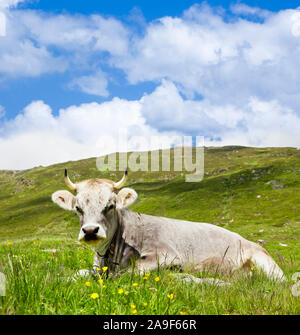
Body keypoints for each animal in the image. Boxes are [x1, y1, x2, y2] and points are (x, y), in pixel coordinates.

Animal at [51, 168, 286, 284]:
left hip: (266, 262)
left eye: (110, 206)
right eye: (78, 208)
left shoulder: (166, 255)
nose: (90, 231)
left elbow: (130, 272)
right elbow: (80, 273)